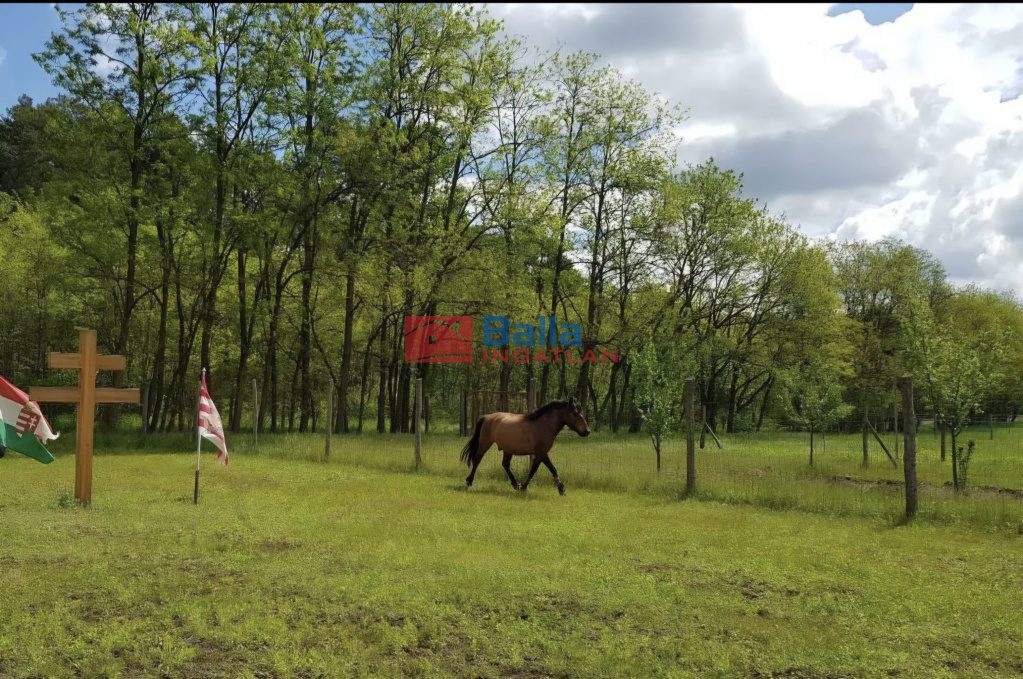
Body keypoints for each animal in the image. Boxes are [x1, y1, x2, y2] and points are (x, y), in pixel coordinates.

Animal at [460, 397, 590, 495]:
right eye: (575, 413)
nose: (587, 431)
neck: (543, 425)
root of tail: (487, 417)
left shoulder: (539, 454)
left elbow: (535, 470)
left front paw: (523, 486)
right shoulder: (542, 453)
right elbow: (549, 469)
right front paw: (561, 489)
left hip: (508, 449)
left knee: (505, 464)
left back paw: (515, 484)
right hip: (485, 444)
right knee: (477, 459)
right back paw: (469, 481)